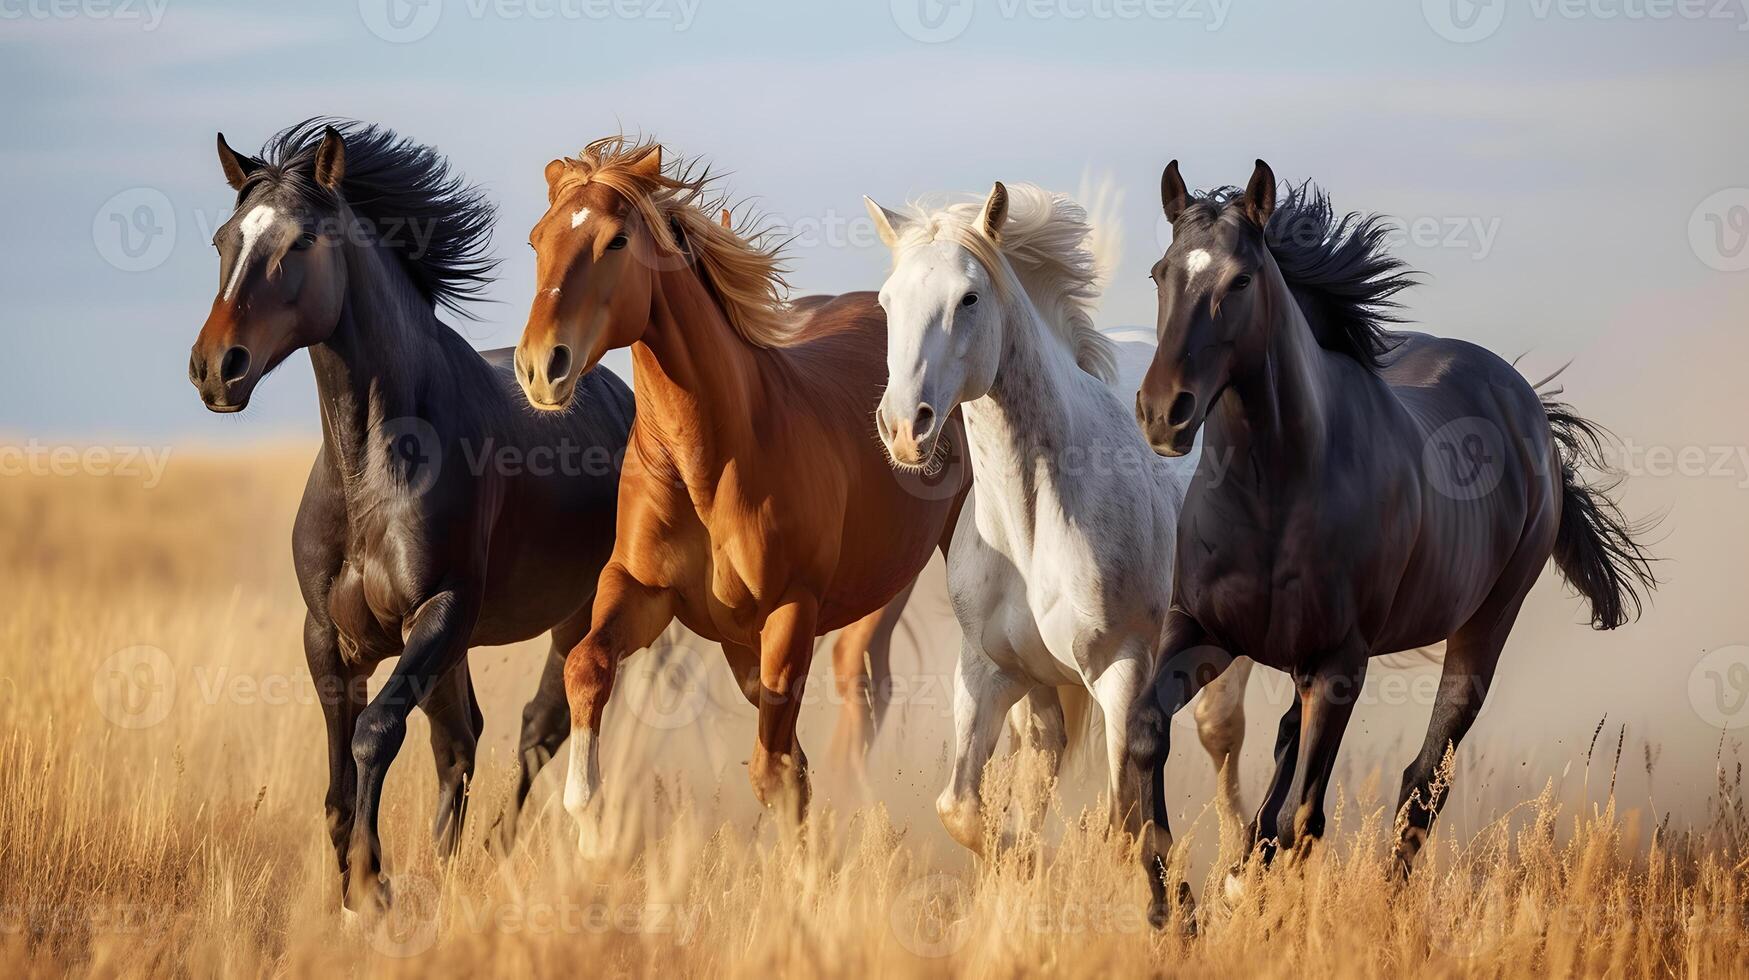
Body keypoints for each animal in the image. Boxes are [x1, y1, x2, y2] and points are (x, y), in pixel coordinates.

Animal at [510, 138, 972, 840]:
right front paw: (588, 820)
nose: (542, 366)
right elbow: (586, 665)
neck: (712, 459)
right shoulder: (642, 590)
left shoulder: (790, 611)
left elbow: (773, 773)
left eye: (617, 240)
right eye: (537, 238)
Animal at [864, 183, 1252, 850]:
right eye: (888, 301)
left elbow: (1123, 823)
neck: (1032, 525)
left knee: (1220, 733)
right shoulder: (992, 672)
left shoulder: (1123, 673)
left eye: (969, 297)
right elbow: (963, 809)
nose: (904, 429)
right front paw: (1017, 859)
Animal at [1119, 161, 1651, 924]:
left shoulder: (1342, 663)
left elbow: (1305, 819)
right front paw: (1176, 909)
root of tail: (1525, 407)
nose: (1165, 412)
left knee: (1422, 780)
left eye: (1240, 281)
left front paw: (1256, 908)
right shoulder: (1201, 629)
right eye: (1161, 272)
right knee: (1292, 745)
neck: (1273, 492)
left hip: (1480, 629)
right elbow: (1145, 734)